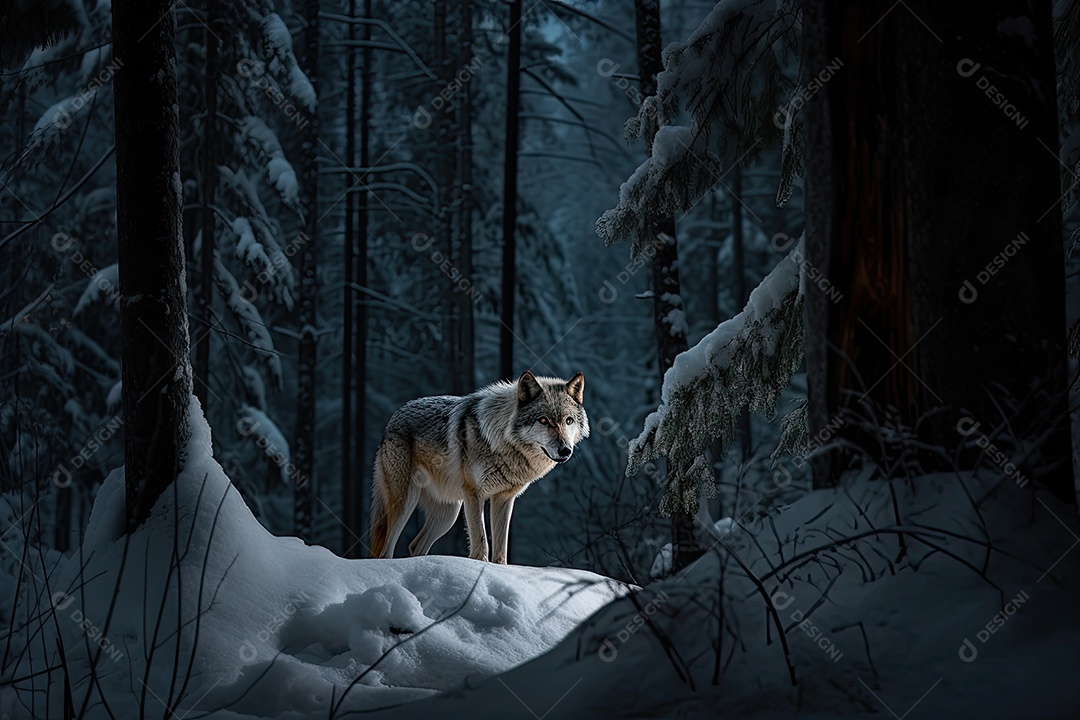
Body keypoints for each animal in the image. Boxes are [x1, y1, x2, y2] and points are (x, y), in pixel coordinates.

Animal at [368, 370, 588, 563]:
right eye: (543, 420)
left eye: (568, 421)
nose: (565, 450)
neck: (502, 441)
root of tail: (396, 414)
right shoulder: (474, 495)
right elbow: (482, 542)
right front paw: (479, 565)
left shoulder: (504, 499)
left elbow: (500, 549)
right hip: (406, 503)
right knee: (385, 550)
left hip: (449, 513)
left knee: (415, 545)